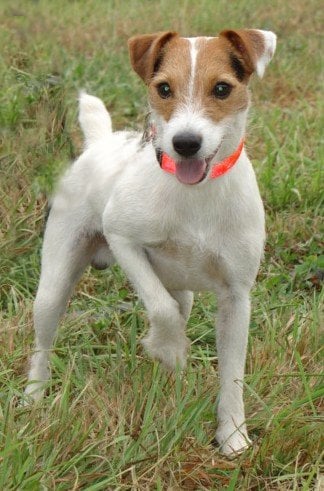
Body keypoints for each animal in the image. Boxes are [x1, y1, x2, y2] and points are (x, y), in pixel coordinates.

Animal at [25, 28, 276, 456]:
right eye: (163, 89)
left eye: (222, 88)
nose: (186, 142)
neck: (195, 195)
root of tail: (100, 143)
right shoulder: (122, 237)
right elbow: (160, 310)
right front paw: (167, 348)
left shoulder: (237, 296)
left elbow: (233, 373)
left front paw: (233, 435)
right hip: (54, 286)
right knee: (44, 341)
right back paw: (33, 395)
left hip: (184, 290)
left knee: (179, 306)